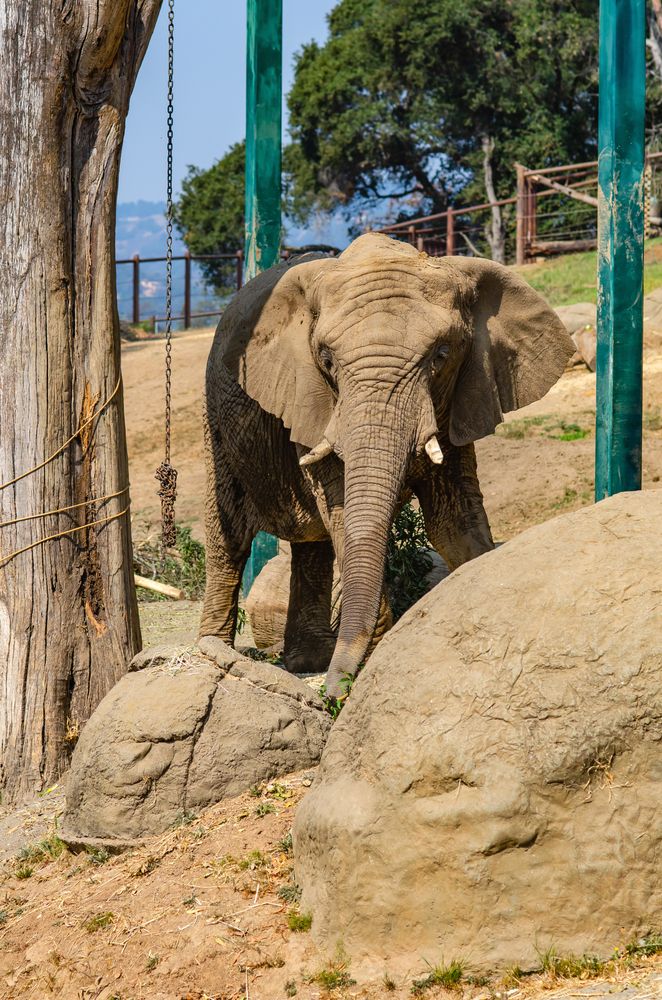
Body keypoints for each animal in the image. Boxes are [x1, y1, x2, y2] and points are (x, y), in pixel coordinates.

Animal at [200, 233, 574, 699]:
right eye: (326, 360)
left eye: (441, 355)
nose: (333, 694)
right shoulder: (314, 402)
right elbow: (347, 517)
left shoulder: (462, 397)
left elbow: (454, 524)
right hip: (216, 421)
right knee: (228, 536)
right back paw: (212, 651)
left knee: (312, 546)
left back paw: (308, 661)